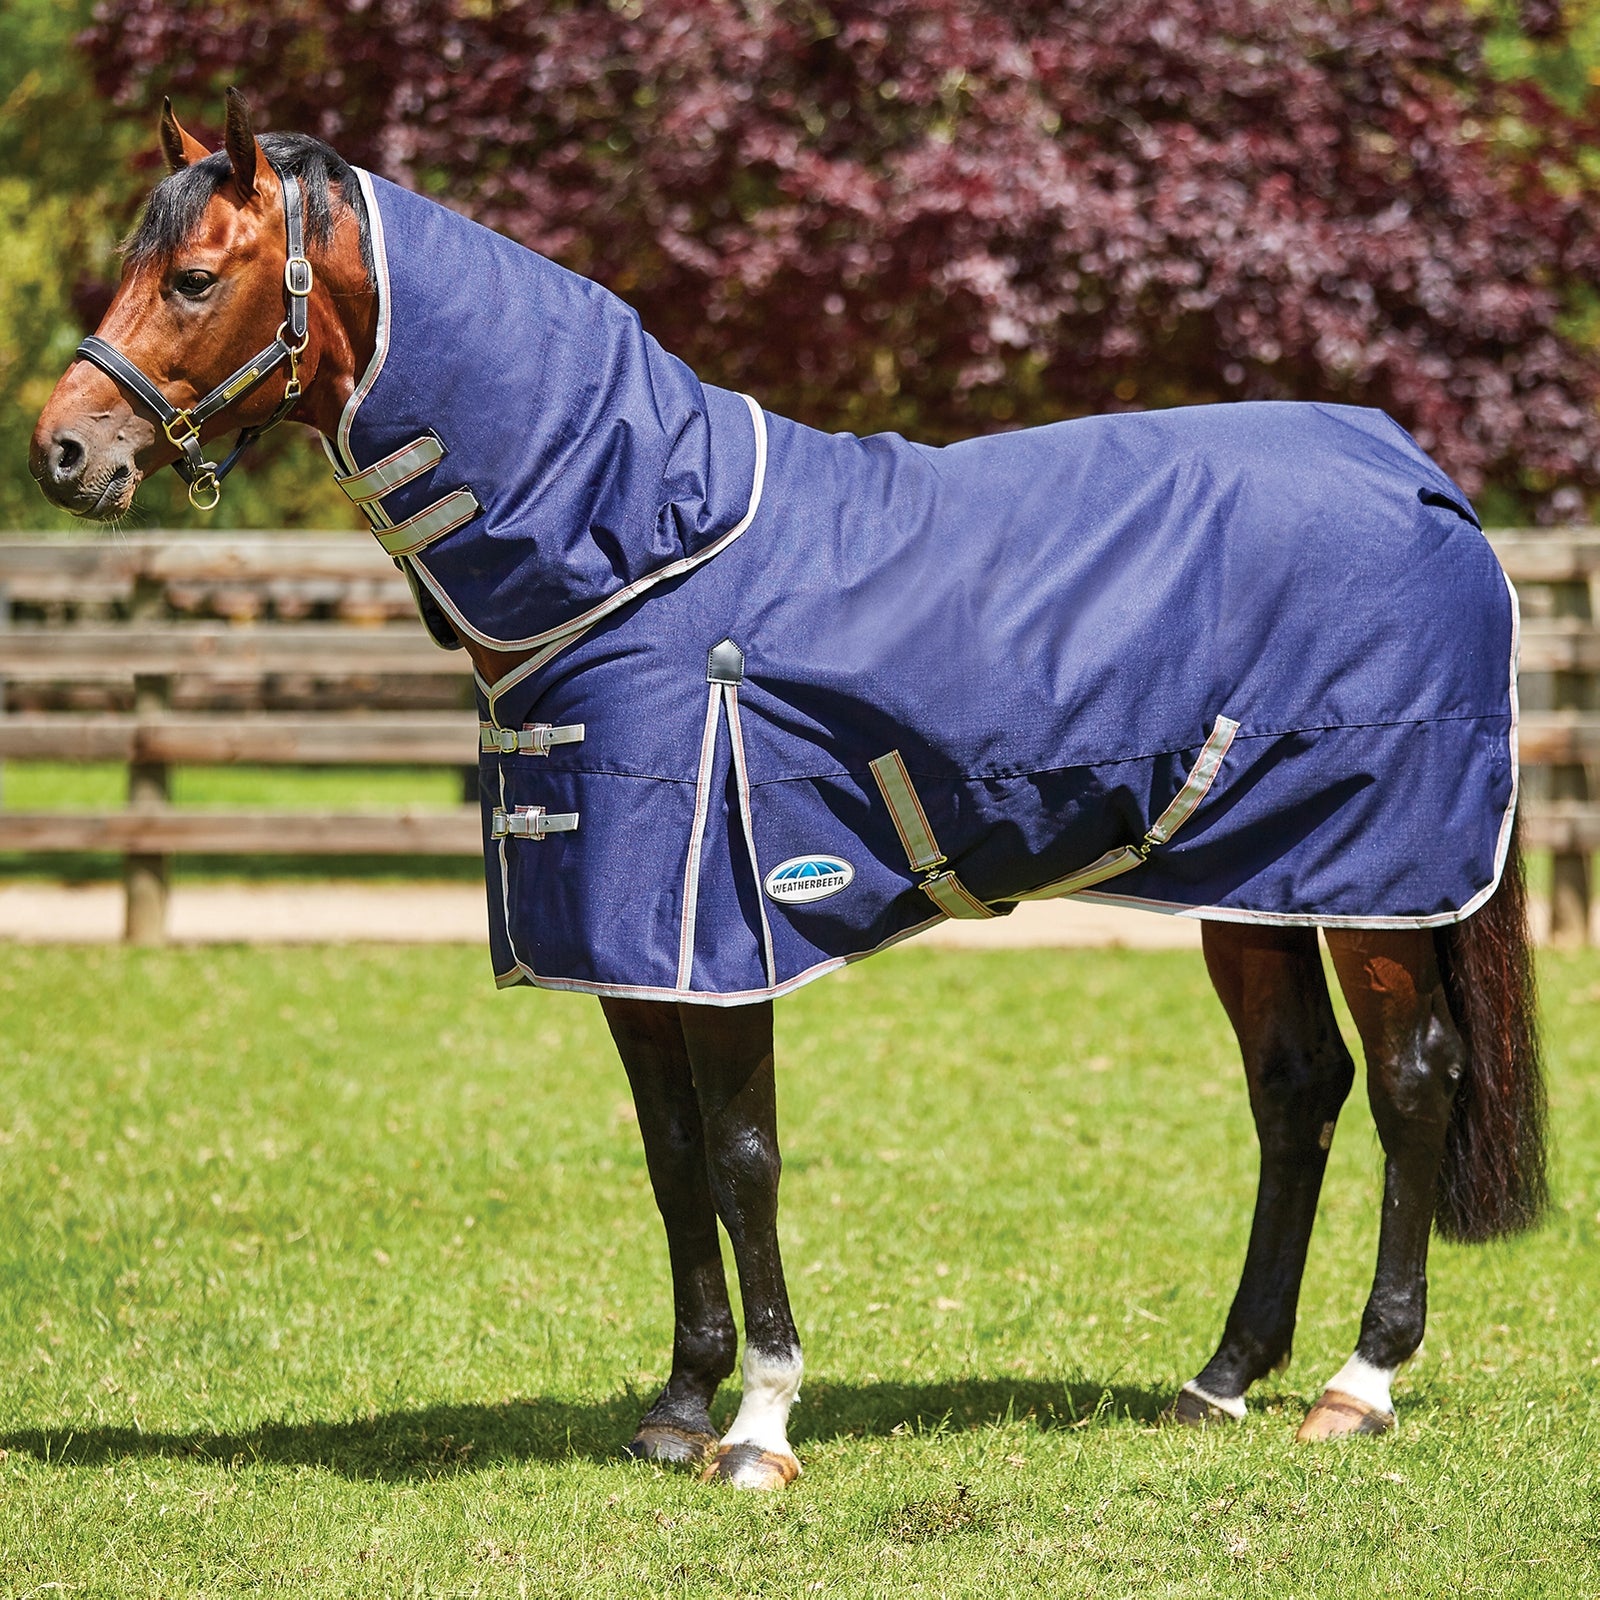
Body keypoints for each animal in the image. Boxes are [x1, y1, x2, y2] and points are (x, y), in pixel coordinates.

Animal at [31, 93, 1547, 1490]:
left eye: (193, 278)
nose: (63, 451)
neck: (641, 551)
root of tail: (1422, 480)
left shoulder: (723, 927)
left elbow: (745, 1155)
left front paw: (760, 1426)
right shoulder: (627, 944)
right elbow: (670, 1158)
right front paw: (676, 1406)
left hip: (1379, 881)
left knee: (1412, 1080)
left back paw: (1358, 1383)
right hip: (1256, 877)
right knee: (1295, 1088)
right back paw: (1221, 1378)